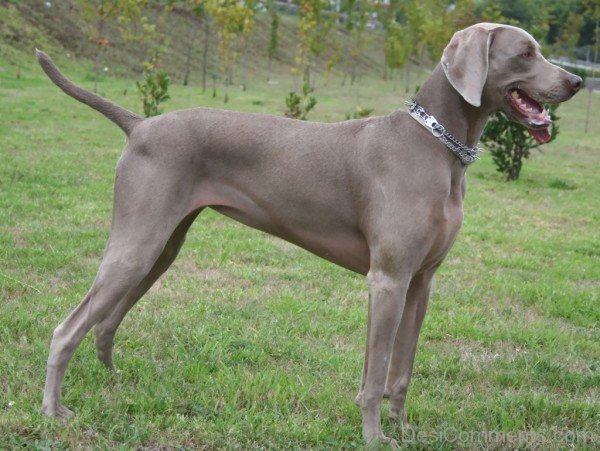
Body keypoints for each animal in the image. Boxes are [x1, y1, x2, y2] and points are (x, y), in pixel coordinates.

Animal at [37, 23, 580, 446]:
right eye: (526, 53)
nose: (575, 81)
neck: (436, 144)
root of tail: (140, 123)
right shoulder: (388, 279)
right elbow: (376, 373)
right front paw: (374, 437)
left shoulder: (421, 283)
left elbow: (401, 371)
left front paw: (403, 430)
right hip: (139, 243)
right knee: (68, 327)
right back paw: (52, 412)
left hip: (162, 247)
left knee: (106, 321)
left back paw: (115, 383)